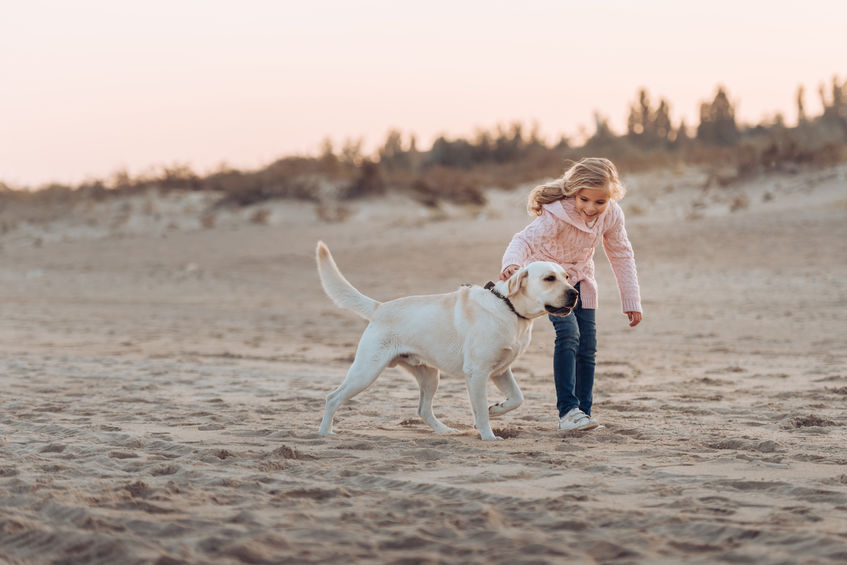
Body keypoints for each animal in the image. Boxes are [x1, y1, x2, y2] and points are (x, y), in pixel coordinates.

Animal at [314, 240, 580, 438]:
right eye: (549, 278)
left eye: (566, 276)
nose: (575, 293)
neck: (509, 308)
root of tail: (379, 307)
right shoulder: (478, 372)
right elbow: (481, 410)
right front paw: (488, 435)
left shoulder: (500, 370)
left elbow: (517, 398)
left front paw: (497, 409)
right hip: (366, 371)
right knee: (332, 397)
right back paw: (325, 432)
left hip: (430, 376)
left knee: (423, 409)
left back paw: (445, 431)